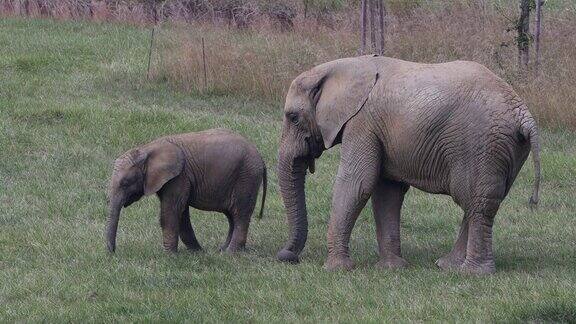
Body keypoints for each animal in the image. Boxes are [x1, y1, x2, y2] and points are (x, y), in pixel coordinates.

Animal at [106, 128, 268, 253]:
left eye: (125, 183)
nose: (112, 253)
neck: (147, 149)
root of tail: (261, 157)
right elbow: (181, 212)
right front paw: (196, 252)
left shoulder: (179, 177)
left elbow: (171, 211)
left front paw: (169, 255)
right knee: (231, 215)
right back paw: (222, 250)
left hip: (246, 177)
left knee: (240, 213)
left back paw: (230, 253)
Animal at [276, 55, 544, 274]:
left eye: (293, 117)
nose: (287, 257)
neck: (342, 66)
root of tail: (523, 115)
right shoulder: (378, 130)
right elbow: (386, 190)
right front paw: (392, 268)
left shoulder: (362, 123)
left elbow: (358, 182)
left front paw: (336, 269)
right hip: (506, 149)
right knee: (481, 202)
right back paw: (448, 266)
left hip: (482, 144)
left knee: (476, 202)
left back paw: (471, 273)